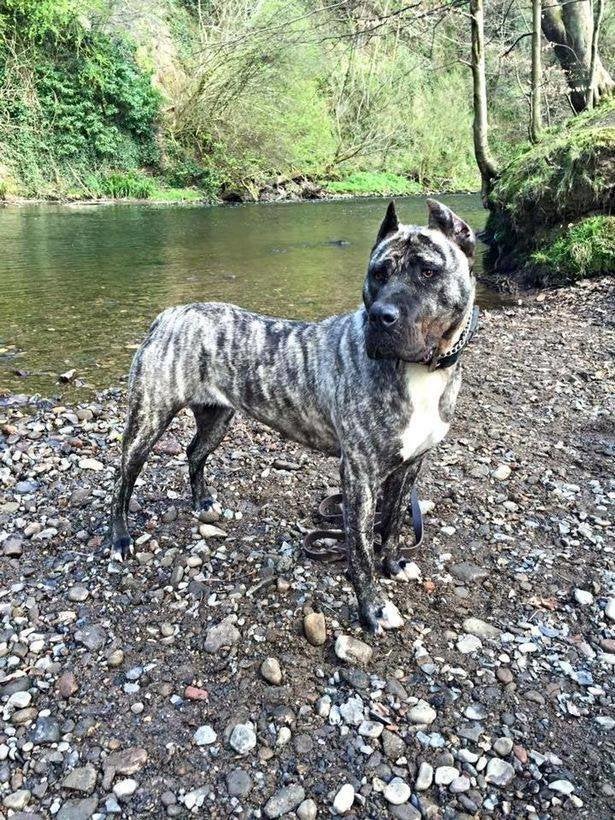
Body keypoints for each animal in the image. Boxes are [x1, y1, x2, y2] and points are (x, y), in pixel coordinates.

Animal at [109, 199, 476, 636]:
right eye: (378, 273)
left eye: (428, 272)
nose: (380, 316)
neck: (420, 371)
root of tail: (171, 314)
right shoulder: (359, 476)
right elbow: (360, 550)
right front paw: (371, 608)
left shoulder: (409, 467)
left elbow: (390, 526)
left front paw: (393, 563)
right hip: (147, 421)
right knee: (123, 480)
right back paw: (120, 538)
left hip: (217, 418)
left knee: (194, 452)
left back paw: (202, 502)